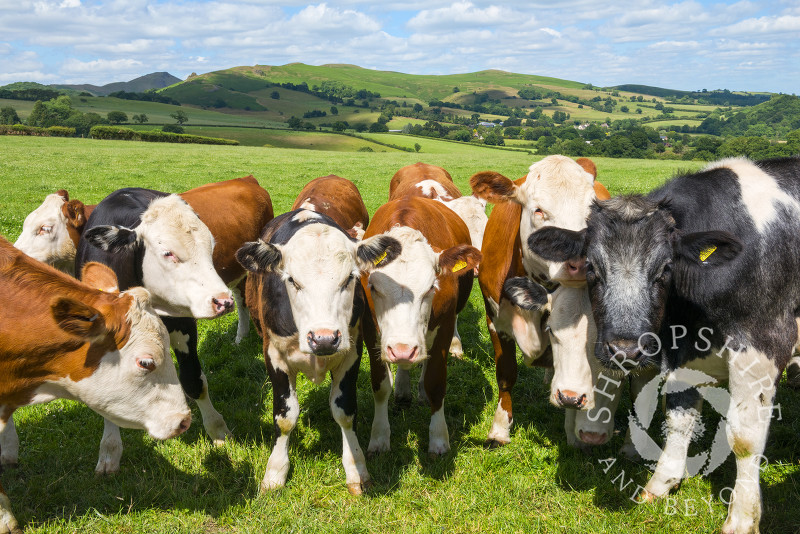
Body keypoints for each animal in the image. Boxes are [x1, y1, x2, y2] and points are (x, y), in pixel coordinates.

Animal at [72, 189, 234, 478]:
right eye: (168, 253)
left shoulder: (184, 324)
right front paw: (110, 450)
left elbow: (193, 380)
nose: (223, 301)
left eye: (211, 248)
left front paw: (217, 429)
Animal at [360, 197, 482, 456]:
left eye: (431, 288)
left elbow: (436, 382)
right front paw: (379, 437)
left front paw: (438, 439)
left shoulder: (444, 327)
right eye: (373, 287)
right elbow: (380, 385)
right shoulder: (369, 330)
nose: (403, 349)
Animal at [468, 157, 612, 450]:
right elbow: (506, 374)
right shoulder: (495, 322)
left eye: (590, 213)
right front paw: (500, 428)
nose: (583, 261)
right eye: (539, 211)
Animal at [532, 157, 800, 534]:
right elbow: (679, 416)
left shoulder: (763, 347)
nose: (625, 349)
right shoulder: (681, 354)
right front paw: (661, 483)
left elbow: (745, 438)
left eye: (665, 268)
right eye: (591, 268)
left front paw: (742, 519)